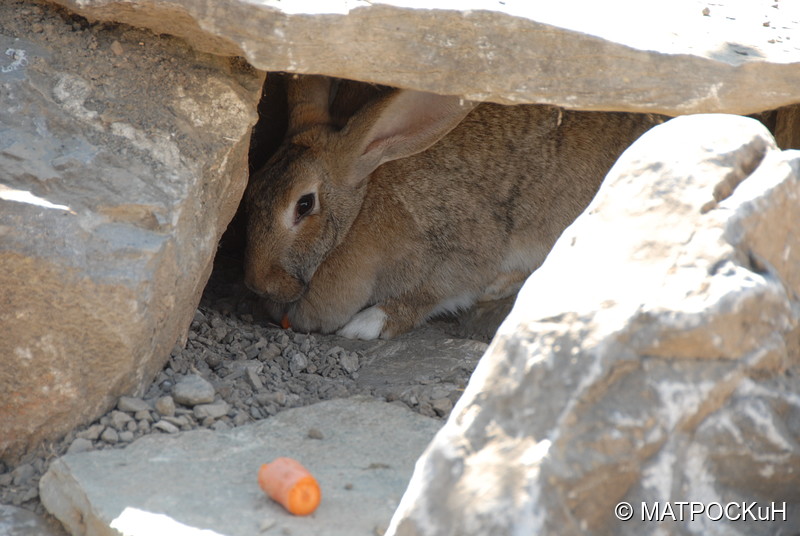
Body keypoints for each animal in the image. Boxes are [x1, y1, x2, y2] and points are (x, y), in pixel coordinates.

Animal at [244, 74, 664, 340]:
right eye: (251, 188)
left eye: (303, 205)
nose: (257, 283)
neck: (358, 212)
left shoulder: (459, 252)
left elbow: (430, 295)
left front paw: (366, 325)